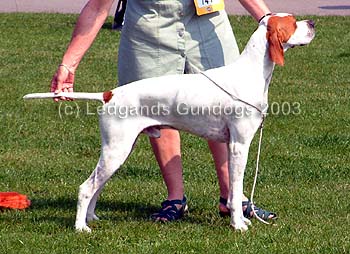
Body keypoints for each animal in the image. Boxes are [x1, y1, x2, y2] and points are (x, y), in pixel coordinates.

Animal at [24, 13, 314, 232]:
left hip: (117, 151)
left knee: (97, 185)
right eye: (292, 22)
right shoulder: (239, 145)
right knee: (86, 187)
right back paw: (81, 227)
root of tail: (110, 93)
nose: (312, 22)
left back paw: (91, 217)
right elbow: (236, 189)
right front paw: (238, 224)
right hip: (117, 150)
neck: (250, 72)